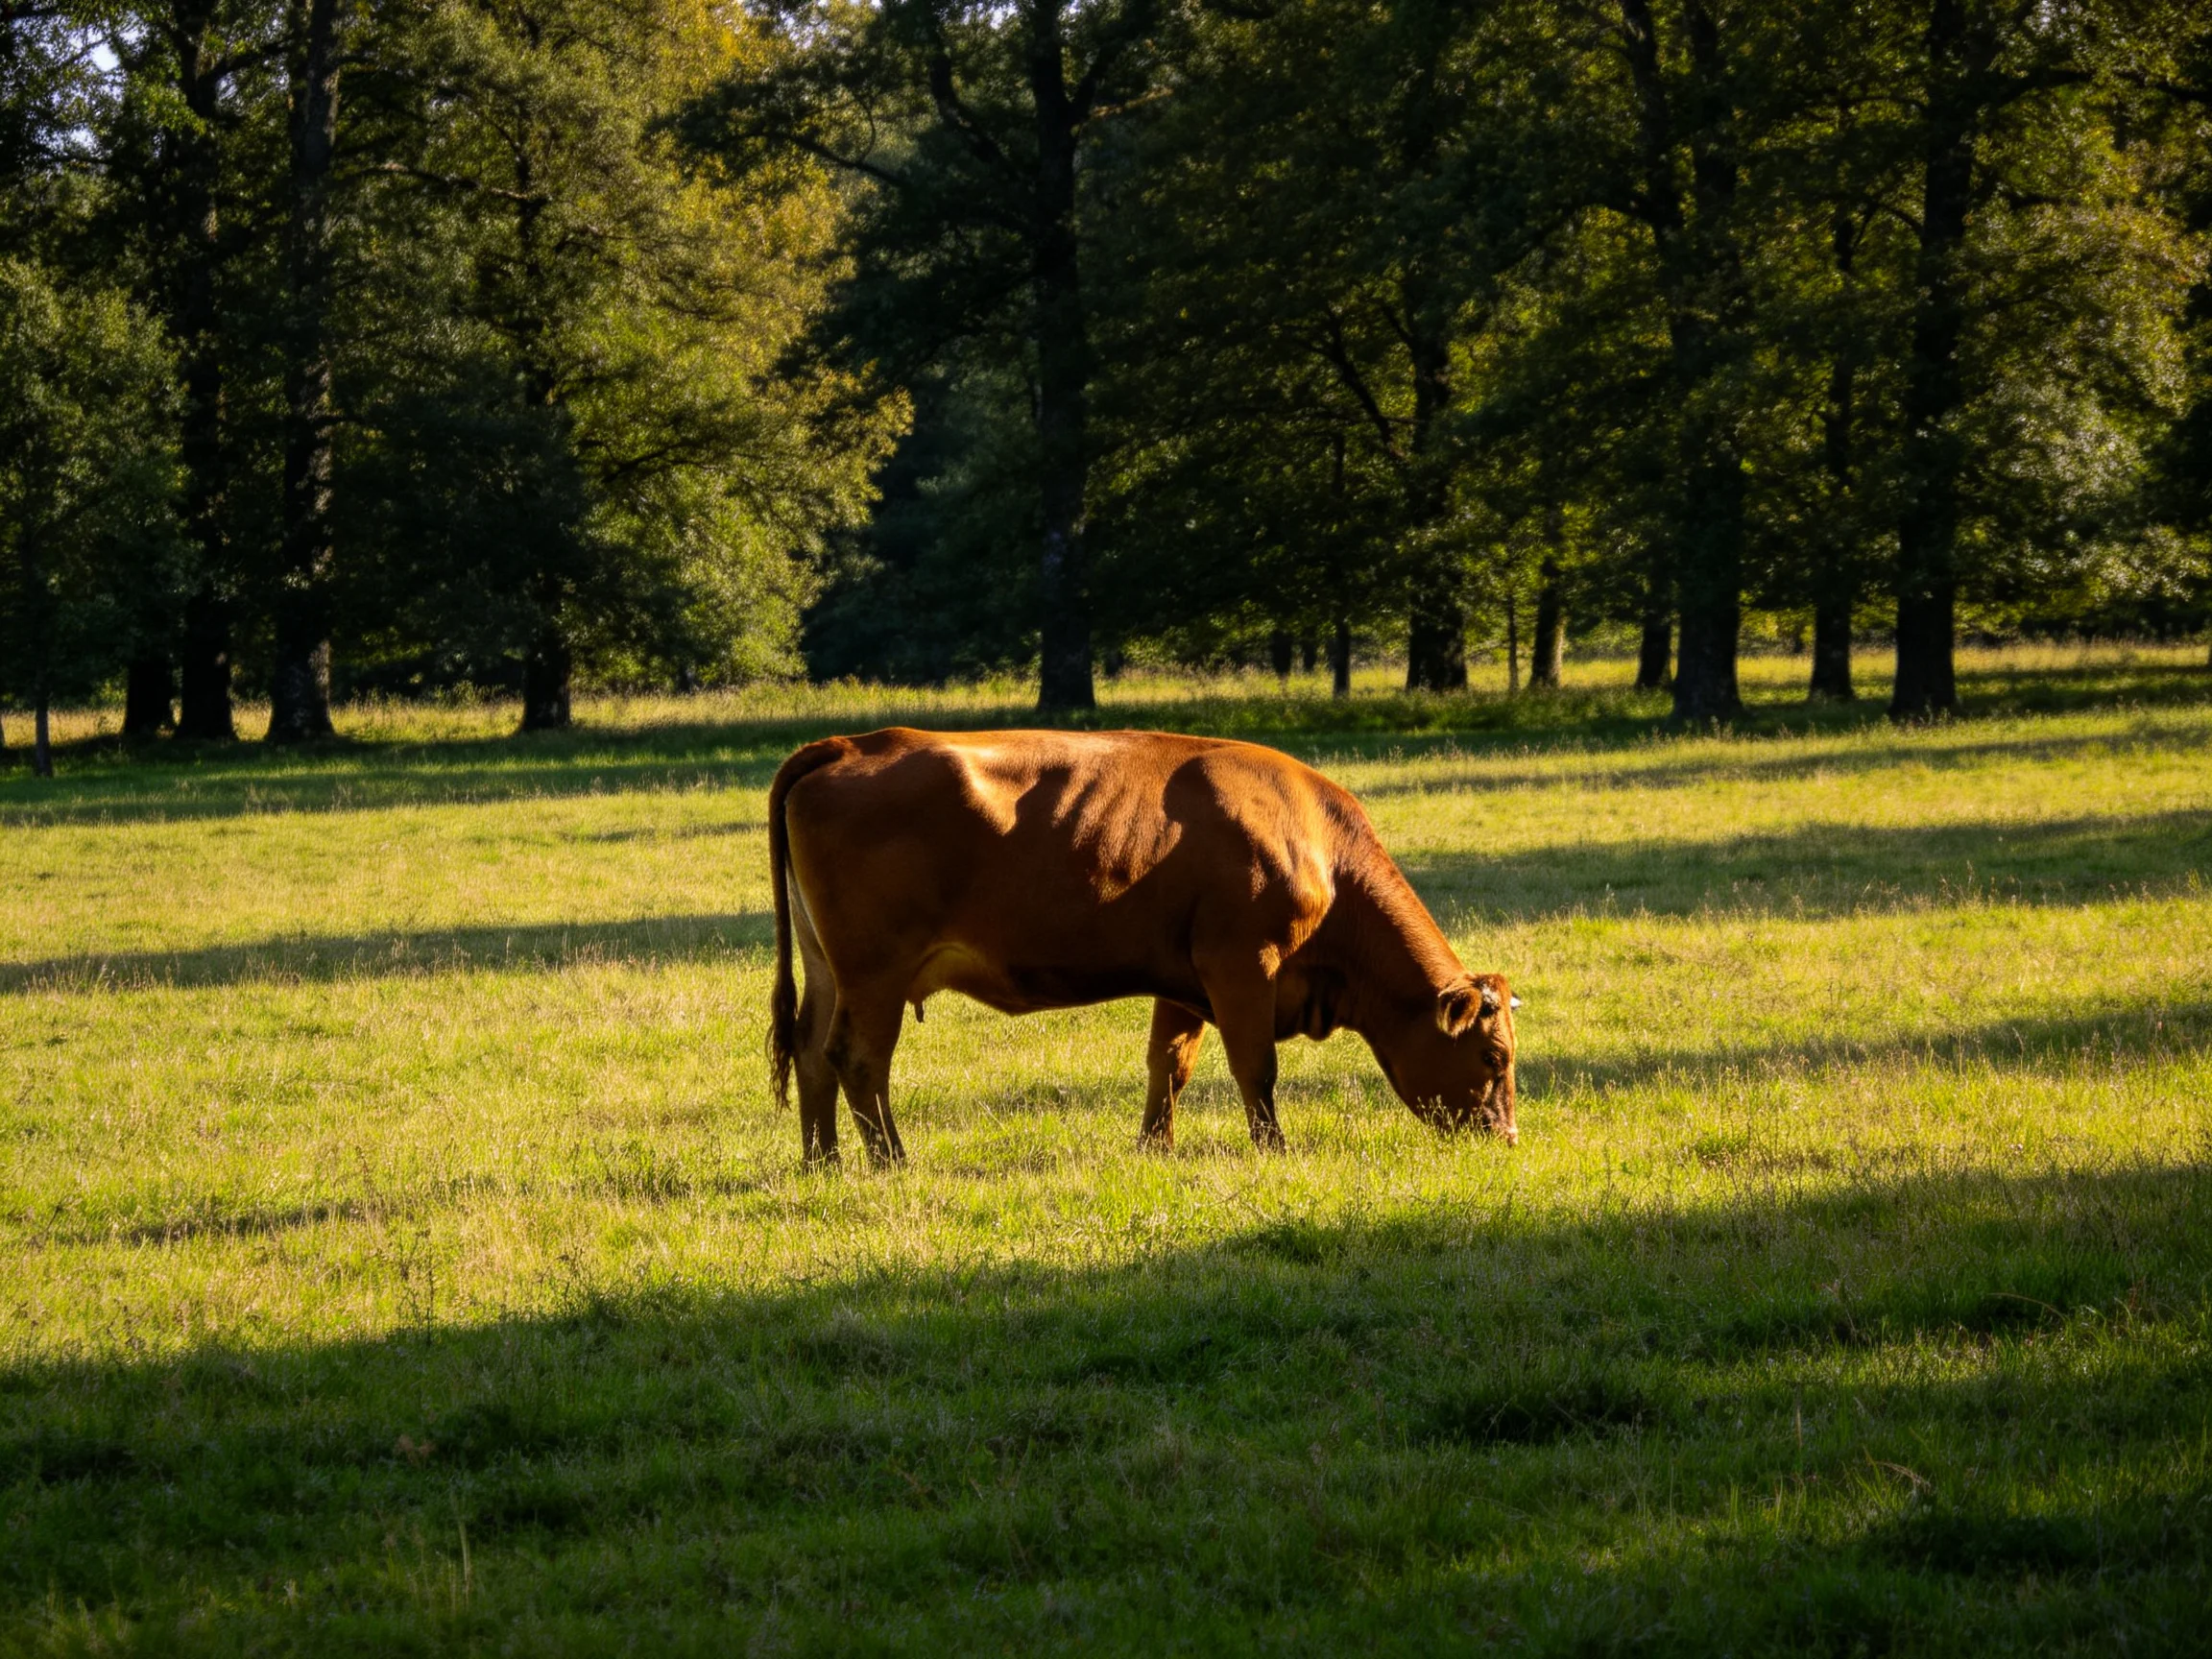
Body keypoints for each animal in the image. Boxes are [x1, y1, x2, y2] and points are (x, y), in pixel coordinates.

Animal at [767, 726, 1517, 1164]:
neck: (1318, 848)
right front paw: (1273, 1150)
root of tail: (853, 743)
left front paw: (1155, 1147)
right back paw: (892, 1160)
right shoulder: (1242, 966)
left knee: (809, 1049)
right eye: (1494, 1055)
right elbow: (1256, 1068)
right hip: (875, 972)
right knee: (858, 1058)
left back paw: (822, 1162)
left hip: (829, 966)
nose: (1507, 1138)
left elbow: (1169, 1066)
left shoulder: (1184, 981)